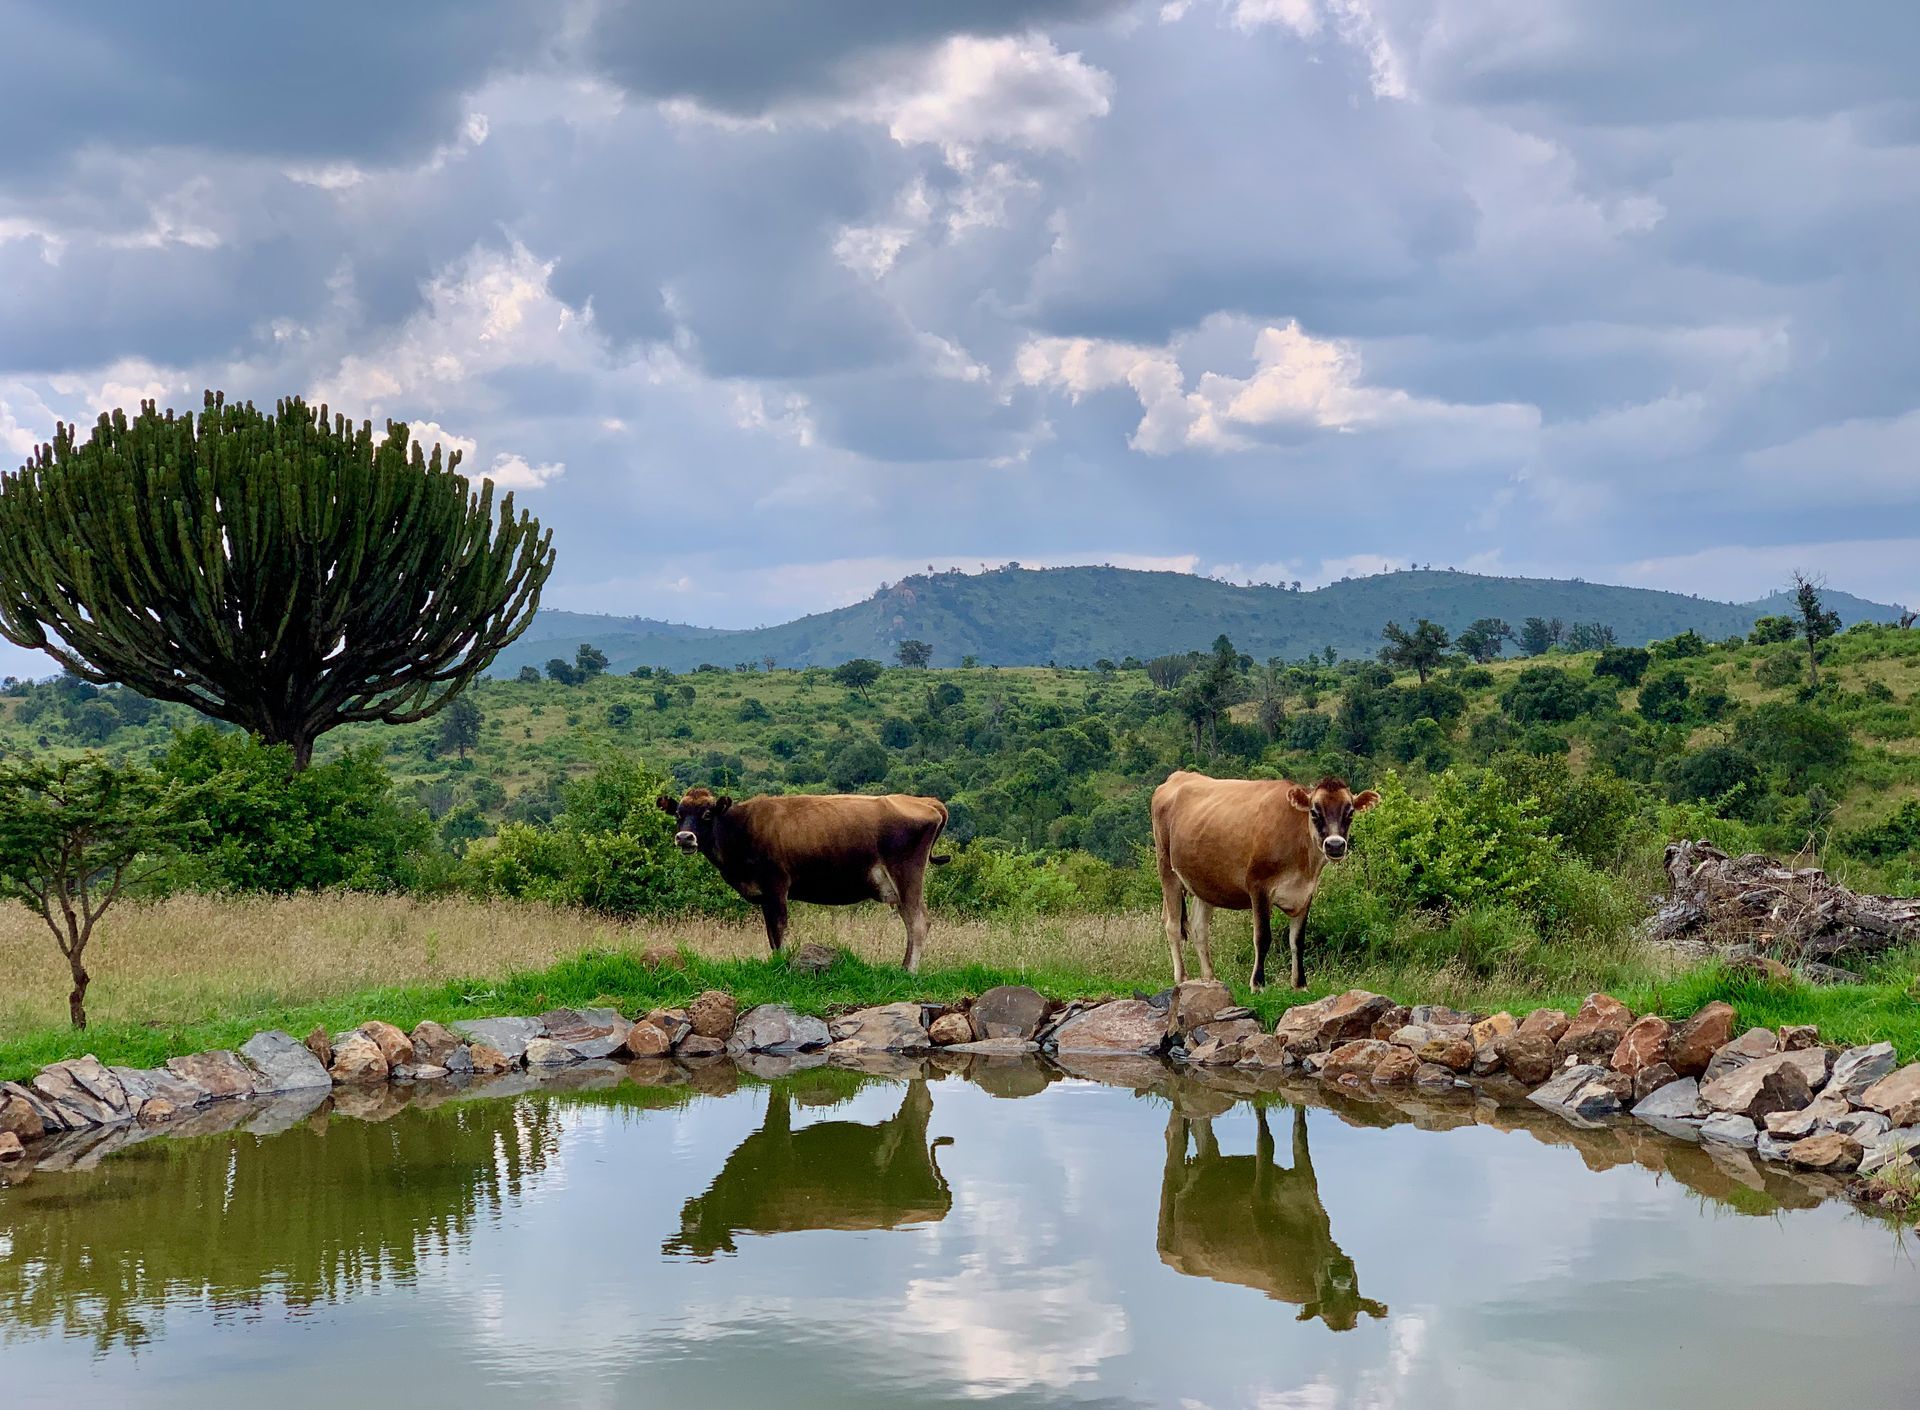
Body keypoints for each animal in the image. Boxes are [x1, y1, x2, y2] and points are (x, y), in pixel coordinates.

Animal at [657, 787, 950, 971]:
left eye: (707, 814)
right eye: (679, 814)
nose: (685, 837)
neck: (741, 828)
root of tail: (925, 802)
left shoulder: (776, 886)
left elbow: (779, 930)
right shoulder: (765, 896)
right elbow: (771, 935)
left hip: (906, 873)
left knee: (917, 921)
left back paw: (908, 970)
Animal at [1151, 770, 1379, 991]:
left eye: (1350, 812)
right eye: (1314, 812)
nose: (1335, 845)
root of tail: (1178, 776)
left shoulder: (1306, 893)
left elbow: (1297, 940)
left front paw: (1300, 984)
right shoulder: (1258, 887)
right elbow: (1263, 937)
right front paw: (1258, 984)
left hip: (1205, 881)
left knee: (1199, 928)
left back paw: (1209, 979)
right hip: (1167, 868)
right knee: (1172, 925)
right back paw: (1181, 977)